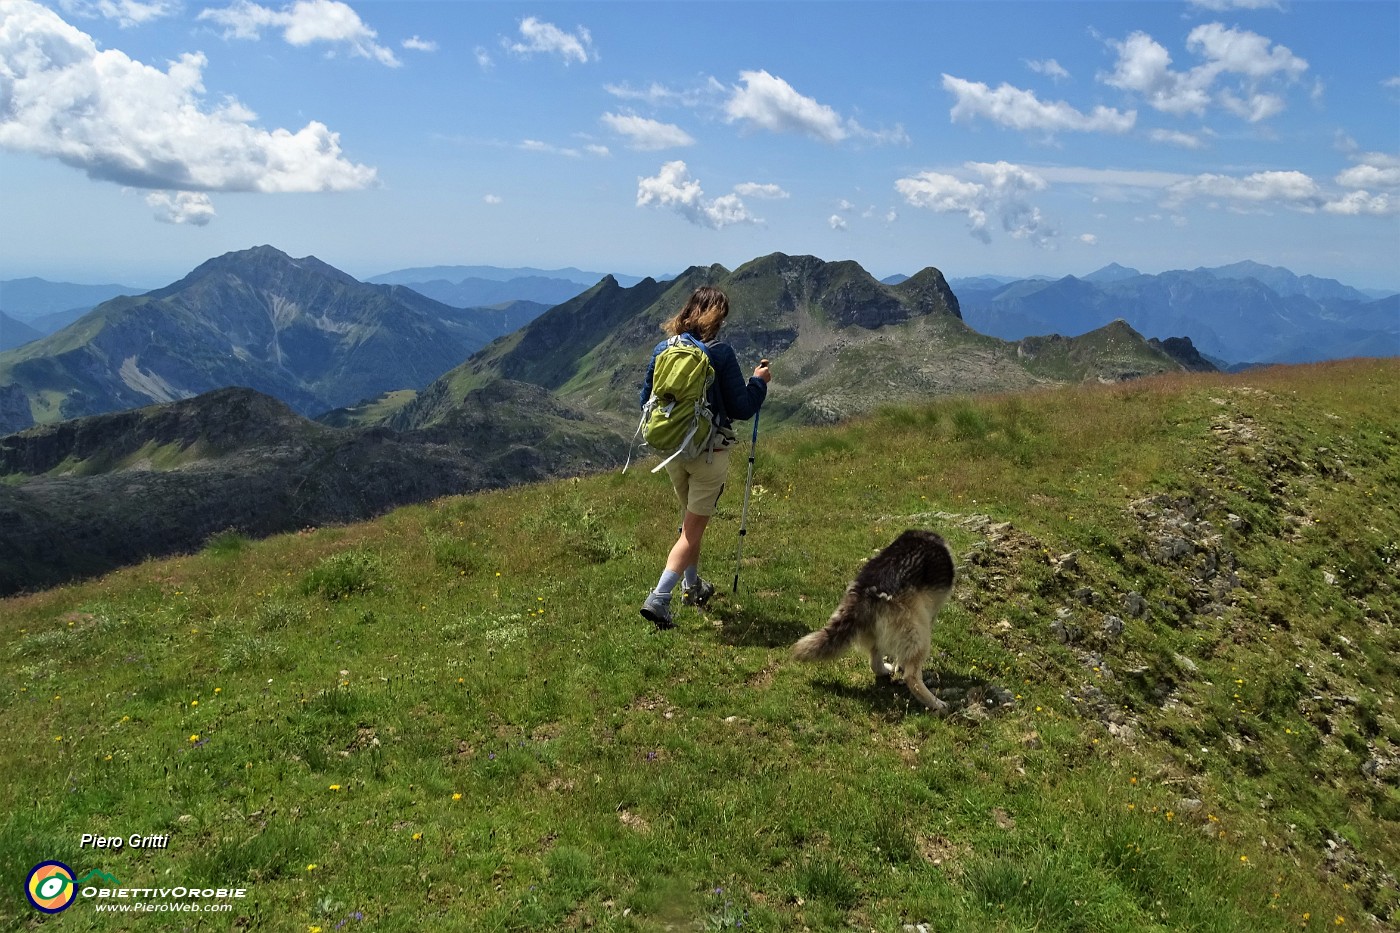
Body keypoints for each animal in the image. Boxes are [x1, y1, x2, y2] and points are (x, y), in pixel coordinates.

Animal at [795, 526, 957, 708]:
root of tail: (866, 589)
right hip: (918, 630)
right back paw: (936, 704)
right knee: (911, 676)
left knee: (874, 661)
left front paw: (895, 665)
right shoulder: (931, 614)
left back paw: (885, 670)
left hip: (878, 629)